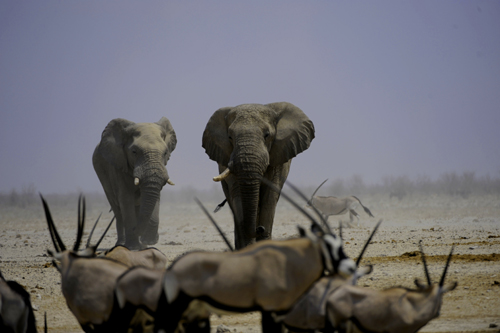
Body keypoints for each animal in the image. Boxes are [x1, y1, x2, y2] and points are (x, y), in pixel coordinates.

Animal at [93, 116, 177, 249]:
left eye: (165, 153)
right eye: (134, 152)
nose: (141, 236)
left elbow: (154, 197)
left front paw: (148, 242)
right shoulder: (119, 165)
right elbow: (126, 199)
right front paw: (134, 247)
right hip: (102, 174)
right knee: (118, 211)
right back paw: (122, 244)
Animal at [202, 101, 312, 249]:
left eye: (267, 135)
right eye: (230, 137)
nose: (259, 229)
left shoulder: (279, 155)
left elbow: (270, 195)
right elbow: (238, 194)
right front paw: (248, 247)